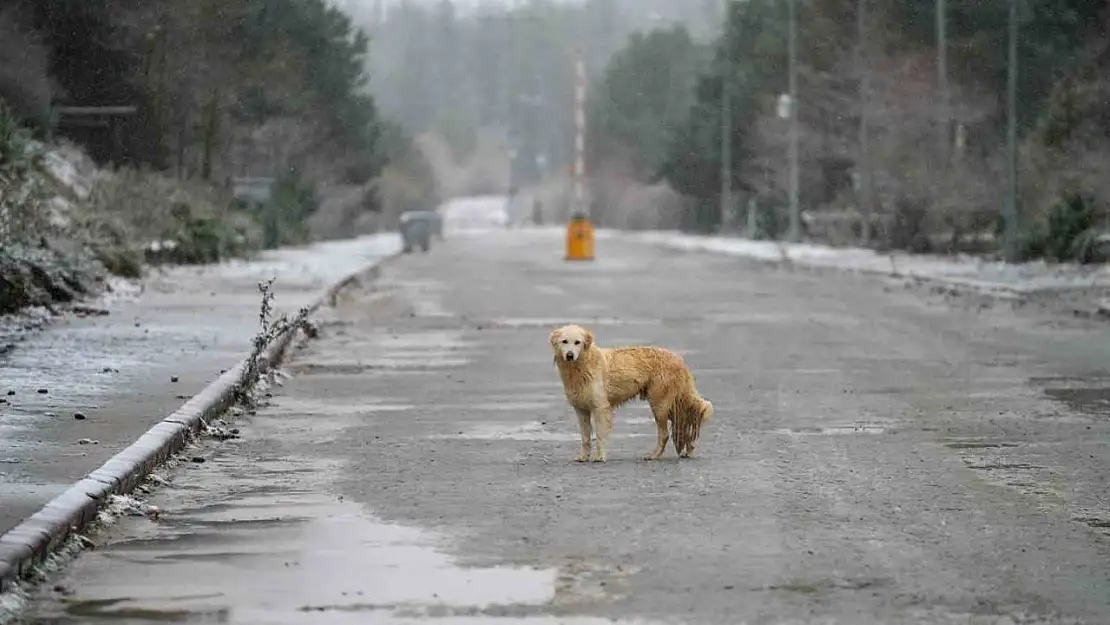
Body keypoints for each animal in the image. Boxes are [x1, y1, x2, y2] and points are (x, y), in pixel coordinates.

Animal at [550, 326, 714, 461]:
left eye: (577, 342)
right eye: (564, 341)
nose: (569, 355)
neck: (581, 366)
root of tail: (678, 359)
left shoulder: (601, 408)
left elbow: (600, 435)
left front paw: (600, 457)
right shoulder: (581, 409)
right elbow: (585, 437)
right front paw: (583, 457)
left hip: (660, 405)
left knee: (666, 433)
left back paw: (654, 455)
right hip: (670, 405)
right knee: (686, 421)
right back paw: (688, 451)